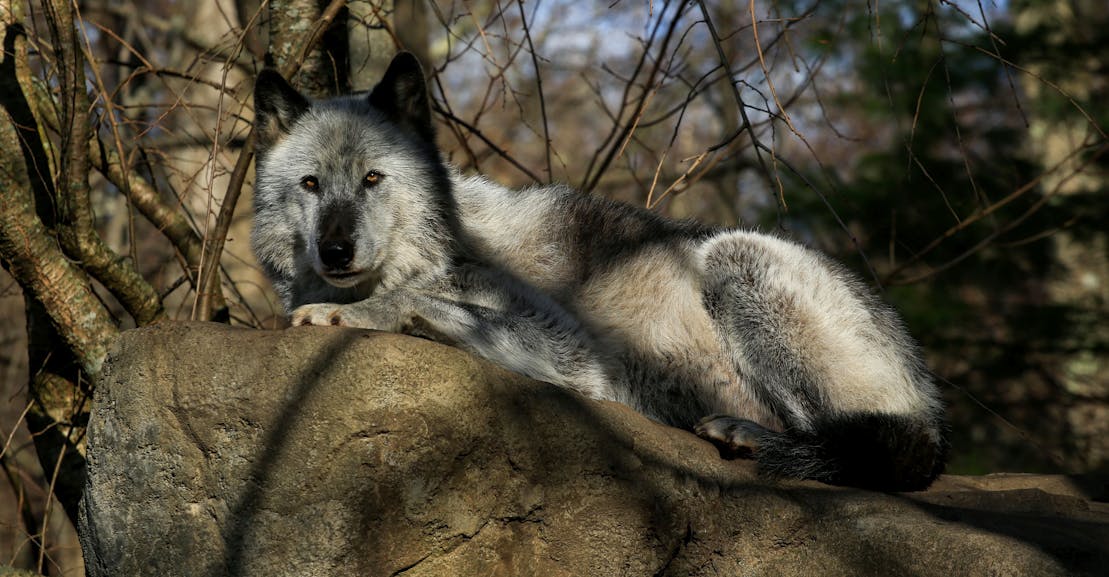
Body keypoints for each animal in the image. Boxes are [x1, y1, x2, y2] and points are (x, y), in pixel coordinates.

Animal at [251, 52, 947, 491]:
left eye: (373, 178)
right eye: (311, 184)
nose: (335, 252)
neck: (445, 245)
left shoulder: (580, 359)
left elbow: (420, 303)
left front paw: (350, 311)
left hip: (736, 257)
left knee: (879, 448)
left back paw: (752, 437)